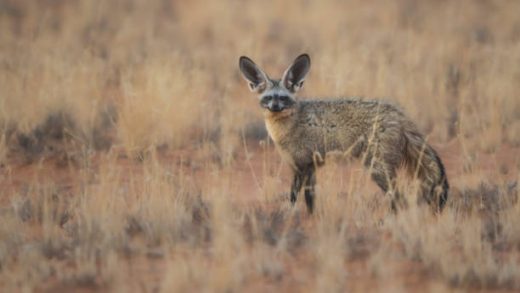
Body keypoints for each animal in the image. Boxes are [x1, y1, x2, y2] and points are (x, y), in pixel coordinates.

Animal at [240, 53, 446, 213]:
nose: (275, 107)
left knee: (398, 198)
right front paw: (311, 217)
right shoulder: (306, 166)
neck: (288, 126)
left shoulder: (303, 165)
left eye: (283, 98)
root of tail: (399, 114)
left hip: (377, 168)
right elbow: (308, 198)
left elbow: (296, 196)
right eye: (268, 98)